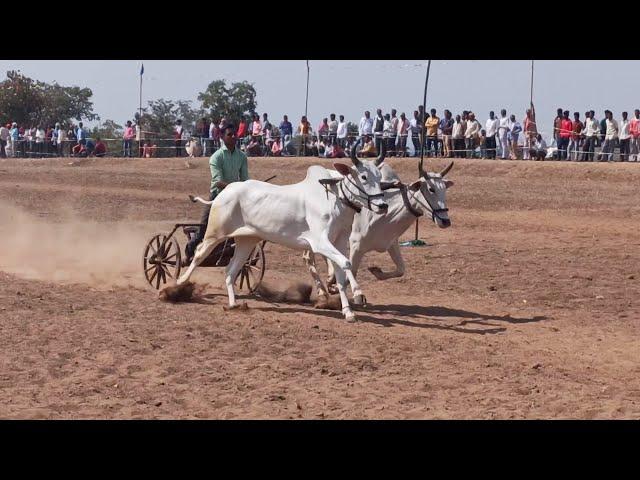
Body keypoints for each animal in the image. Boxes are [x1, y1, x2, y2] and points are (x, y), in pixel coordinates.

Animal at [175, 141, 388, 320]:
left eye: (380, 178)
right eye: (363, 177)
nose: (383, 205)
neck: (334, 199)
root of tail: (225, 192)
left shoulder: (339, 242)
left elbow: (343, 270)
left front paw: (348, 311)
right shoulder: (320, 243)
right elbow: (345, 263)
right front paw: (352, 297)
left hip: (246, 241)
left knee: (230, 270)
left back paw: (234, 303)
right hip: (215, 233)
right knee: (199, 253)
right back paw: (178, 283)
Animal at [316, 161, 456, 304]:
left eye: (444, 189)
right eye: (431, 189)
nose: (445, 221)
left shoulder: (391, 243)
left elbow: (401, 269)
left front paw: (376, 271)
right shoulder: (355, 244)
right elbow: (351, 271)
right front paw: (347, 291)